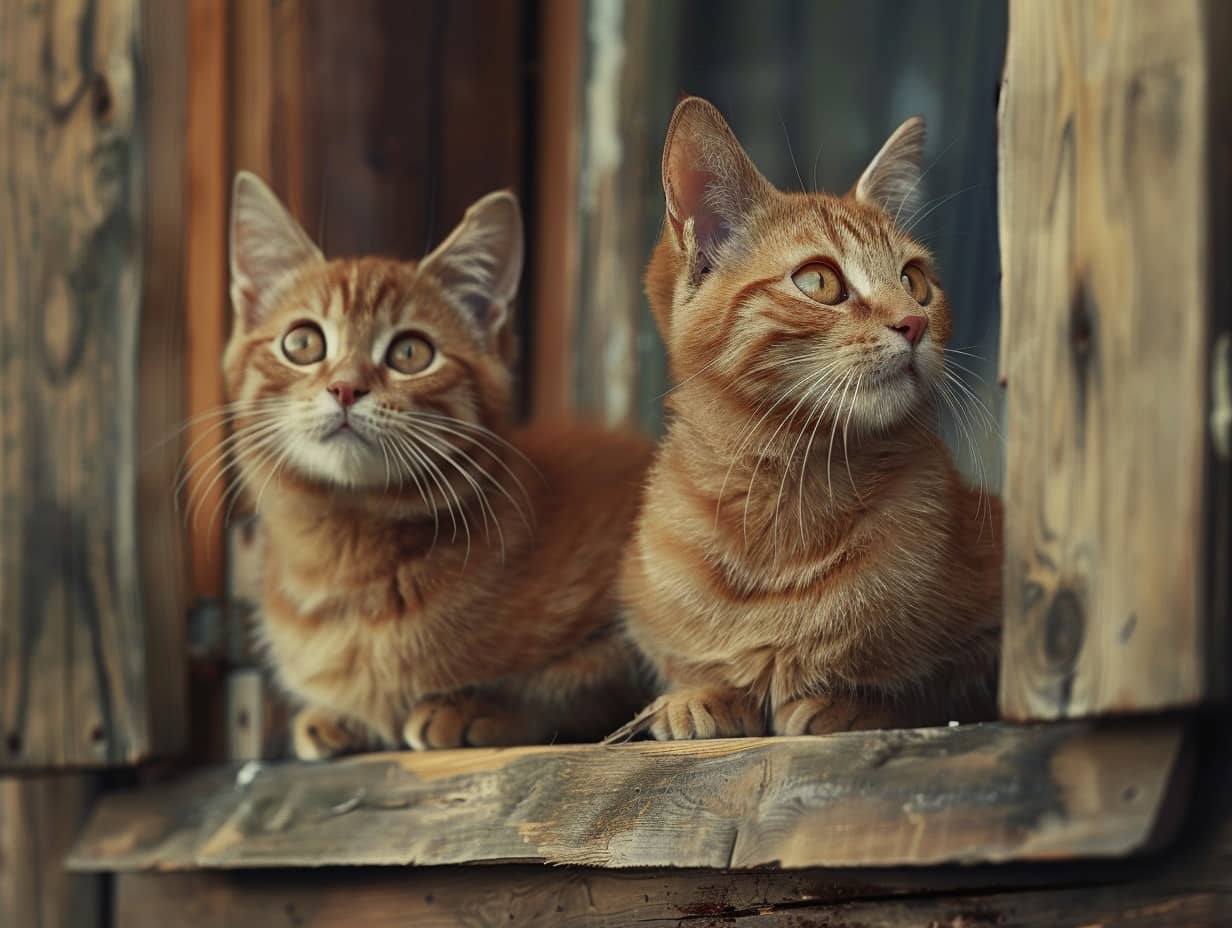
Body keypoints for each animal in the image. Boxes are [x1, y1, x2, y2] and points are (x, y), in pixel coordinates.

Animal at [220, 170, 650, 754]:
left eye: (410, 353)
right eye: (303, 342)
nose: (345, 387)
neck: (349, 560)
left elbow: (579, 679)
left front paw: (477, 705)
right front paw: (335, 715)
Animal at [613, 97, 1000, 744]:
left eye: (915, 281)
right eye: (819, 281)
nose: (914, 323)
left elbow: (941, 688)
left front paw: (853, 701)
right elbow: (693, 665)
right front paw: (697, 695)